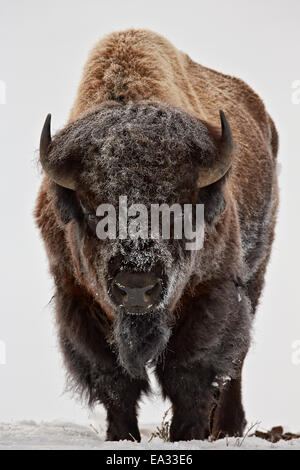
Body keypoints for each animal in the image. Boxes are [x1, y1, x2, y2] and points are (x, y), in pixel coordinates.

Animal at [35, 28, 278, 440]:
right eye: (91, 205)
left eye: (180, 205)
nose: (136, 286)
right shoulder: (77, 297)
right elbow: (113, 379)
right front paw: (121, 436)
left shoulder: (212, 291)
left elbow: (191, 371)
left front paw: (188, 434)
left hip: (255, 274)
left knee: (236, 362)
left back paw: (228, 427)